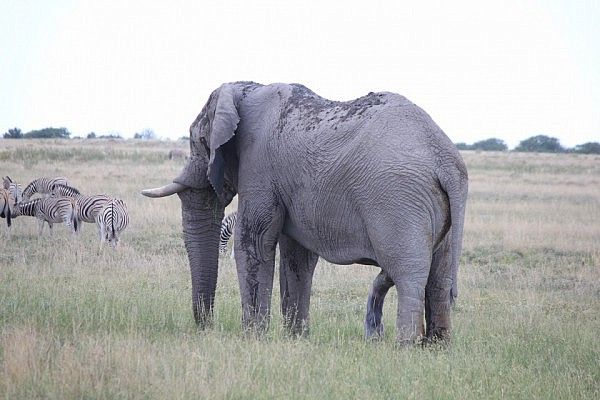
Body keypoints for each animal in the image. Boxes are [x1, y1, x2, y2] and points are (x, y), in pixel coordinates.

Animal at [142, 80, 468, 344]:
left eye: (198, 141)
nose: (207, 328)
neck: (245, 89)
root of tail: (447, 160)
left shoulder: (259, 166)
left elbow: (253, 243)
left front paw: (253, 340)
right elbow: (297, 257)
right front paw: (296, 339)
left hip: (399, 200)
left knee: (408, 273)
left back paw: (405, 347)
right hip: (433, 207)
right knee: (438, 279)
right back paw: (436, 348)